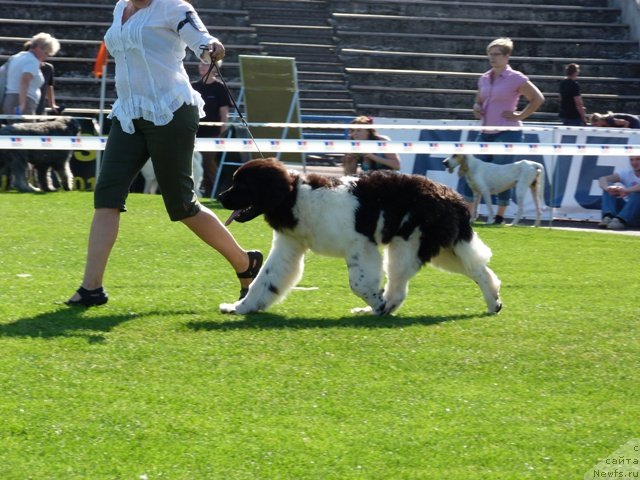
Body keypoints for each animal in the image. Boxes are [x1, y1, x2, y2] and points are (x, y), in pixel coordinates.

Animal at [218, 157, 502, 316]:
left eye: (242, 184)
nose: (220, 197)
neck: (294, 196)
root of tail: (451, 195)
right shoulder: (289, 246)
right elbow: (265, 280)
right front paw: (241, 307)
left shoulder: (360, 246)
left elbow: (359, 283)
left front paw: (376, 301)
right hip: (441, 248)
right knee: (479, 271)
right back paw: (493, 302)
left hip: (409, 246)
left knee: (398, 288)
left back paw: (379, 308)